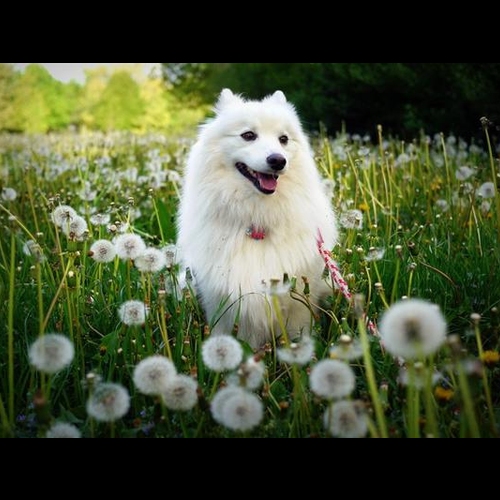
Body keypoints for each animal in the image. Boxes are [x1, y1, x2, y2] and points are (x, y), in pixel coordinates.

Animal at [178, 90, 338, 348]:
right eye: (248, 135)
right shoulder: (223, 304)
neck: (257, 219)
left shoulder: (299, 303)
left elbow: (299, 337)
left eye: (283, 139)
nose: (278, 160)